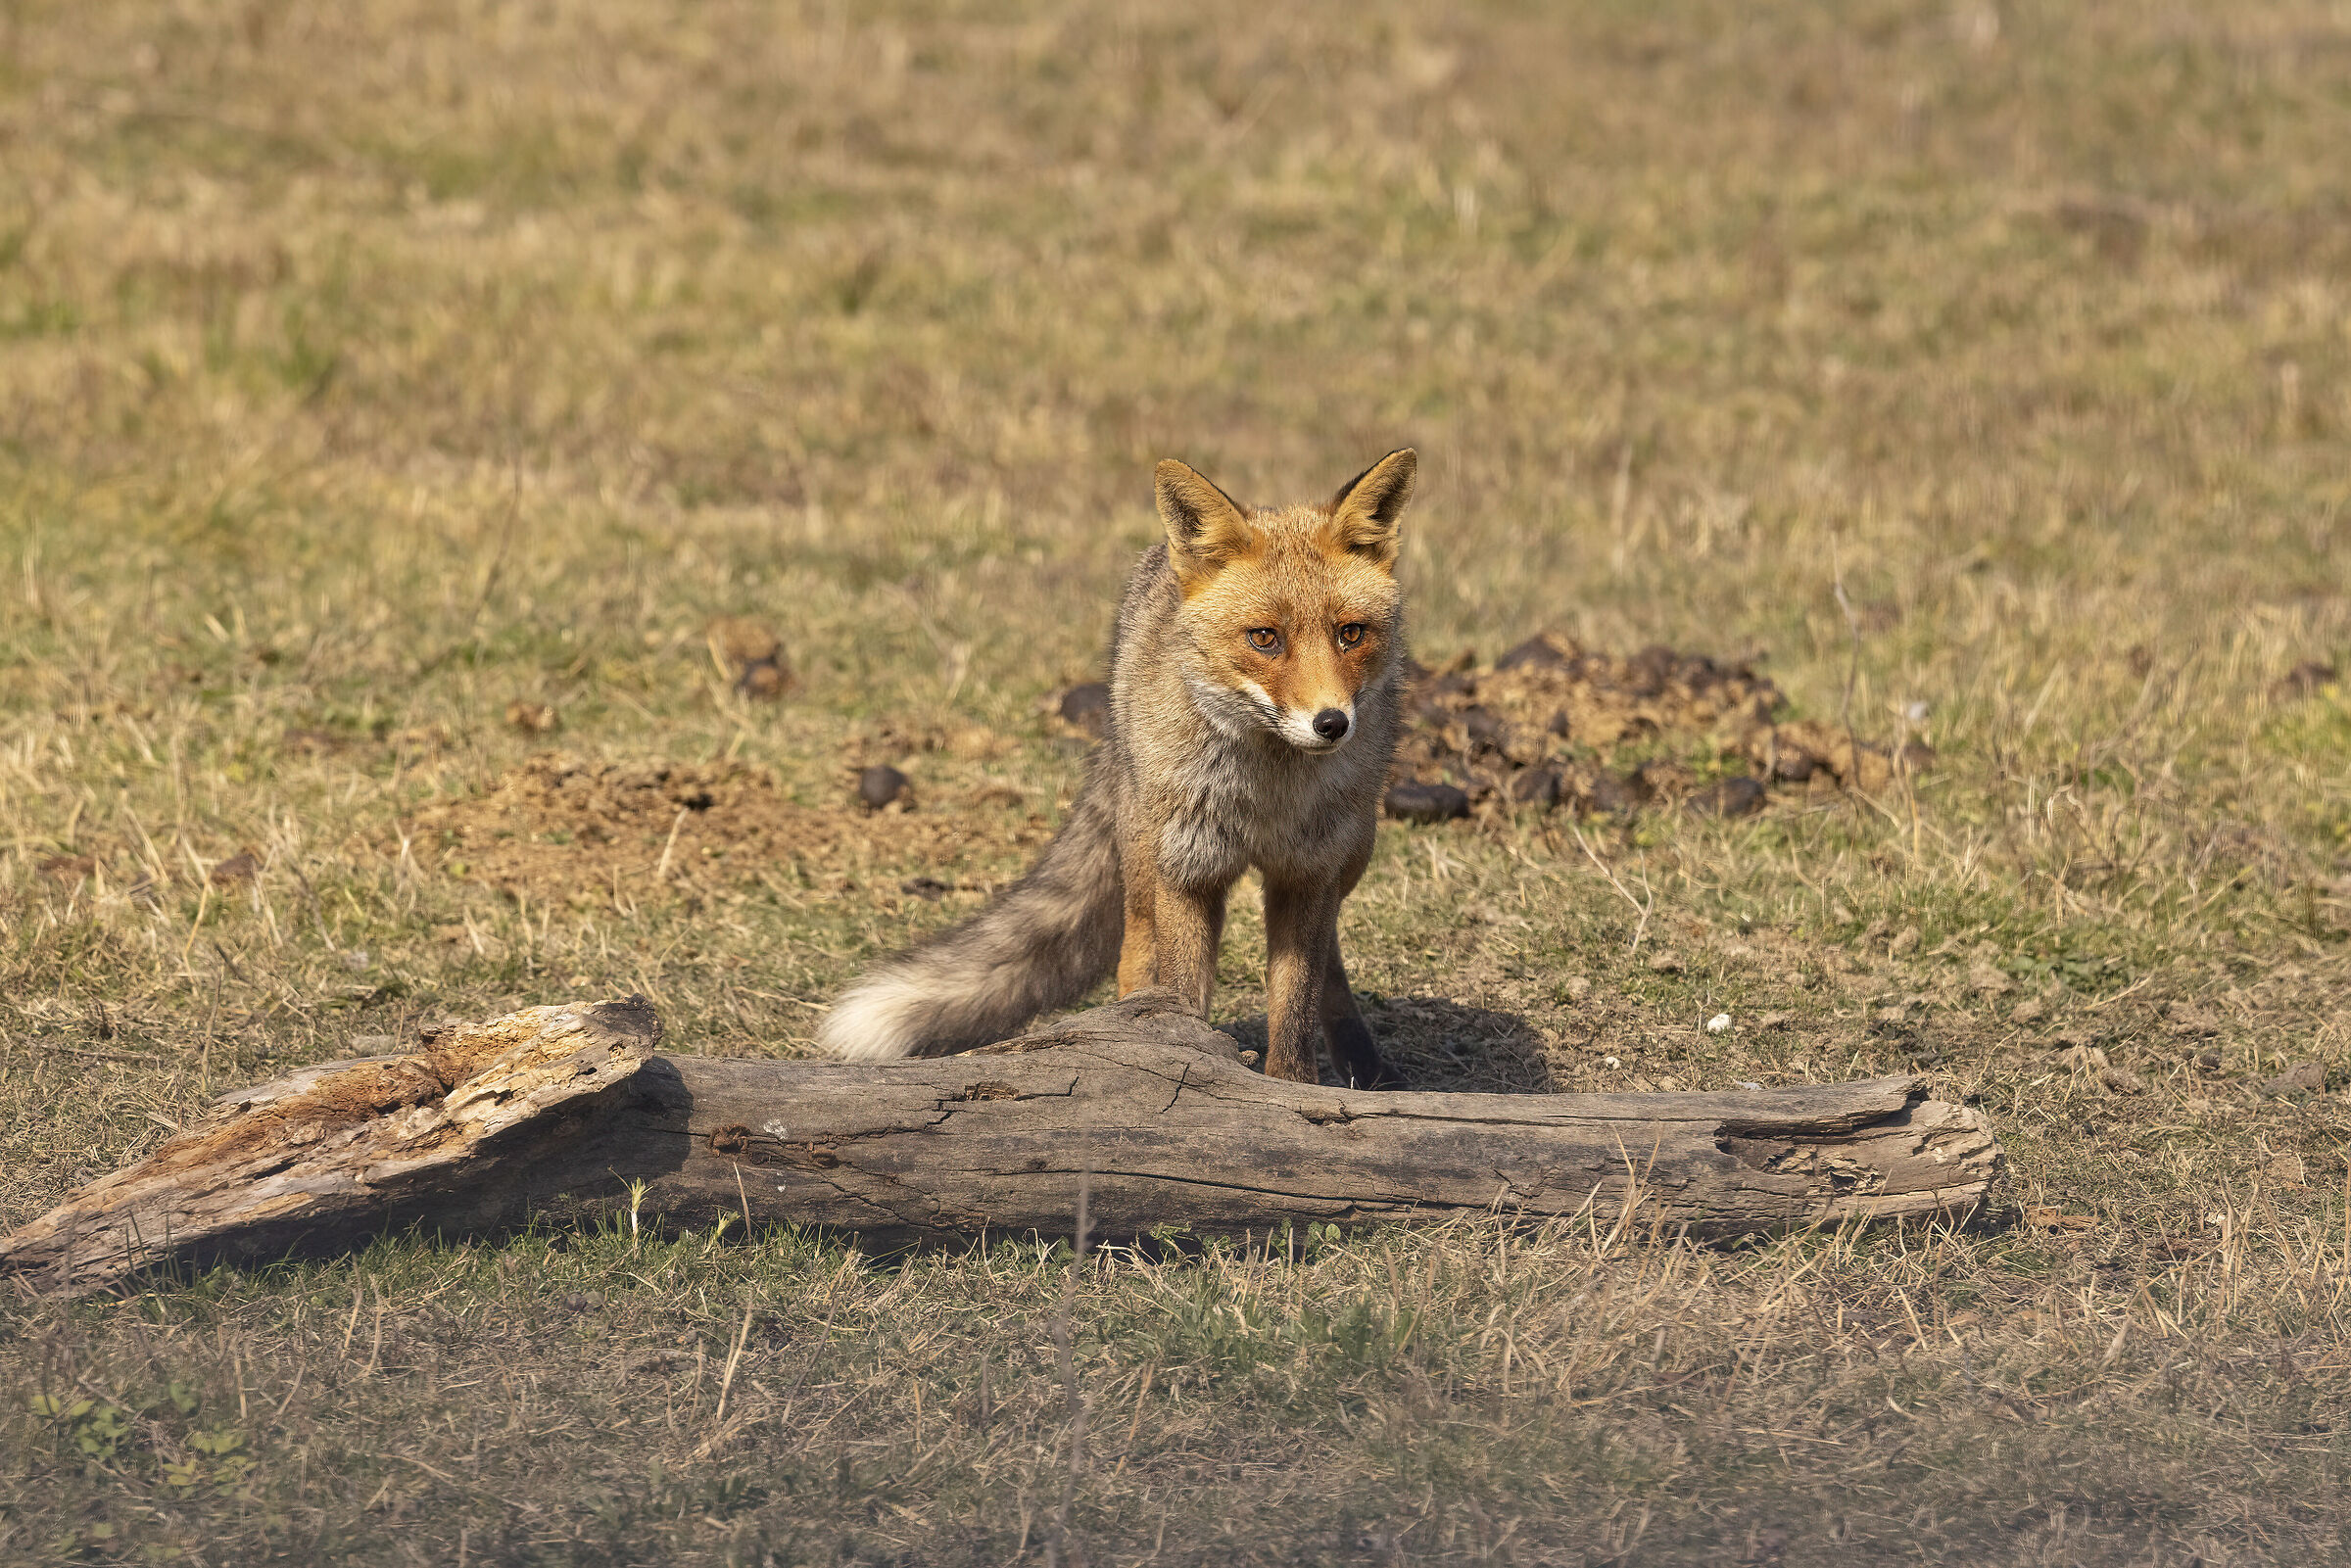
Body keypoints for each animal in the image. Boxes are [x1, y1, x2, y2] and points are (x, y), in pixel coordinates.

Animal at [815, 448, 1420, 1088]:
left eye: (1350, 633)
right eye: (1264, 638)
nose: (1332, 723)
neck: (1265, 794)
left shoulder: (1307, 877)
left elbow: (1295, 1015)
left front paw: (1294, 1091)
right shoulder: (1188, 874)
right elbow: (1182, 991)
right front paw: (1183, 1058)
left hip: (1351, 857)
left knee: (1329, 960)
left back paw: (1361, 1059)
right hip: (1146, 864)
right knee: (1138, 961)